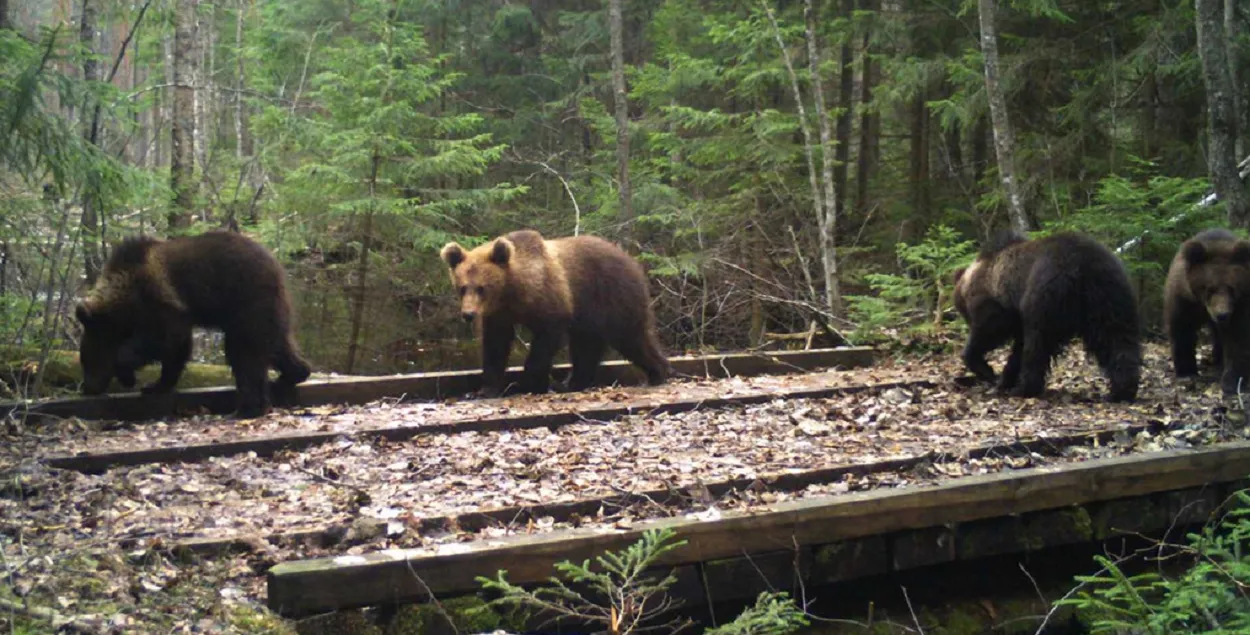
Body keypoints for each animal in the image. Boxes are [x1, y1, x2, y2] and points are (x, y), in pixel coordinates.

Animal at [75, 231, 310, 420]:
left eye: (88, 360)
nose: (88, 387)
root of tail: (277, 266)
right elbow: (176, 350)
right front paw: (155, 385)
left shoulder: (159, 302)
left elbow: (164, 339)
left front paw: (128, 374)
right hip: (267, 311)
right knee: (277, 345)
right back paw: (292, 375)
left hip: (248, 302)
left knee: (245, 353)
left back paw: (248, 408)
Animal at [442, 228, 675, 397]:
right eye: (462, 287)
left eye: (482, 287)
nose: (468, 314)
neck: (513, 291)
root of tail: (631, 260)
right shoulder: (498, 315)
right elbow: (495, 346)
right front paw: (485, 389)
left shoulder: (551, 300)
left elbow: (546, 339)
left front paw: (532, 383)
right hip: (590, 315)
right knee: (588, 346)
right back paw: (574, 383)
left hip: (611, 296)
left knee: (630, 337)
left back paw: (657, 372)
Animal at [950, 233, 1140, 400]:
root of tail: (1083, 267)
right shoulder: (1018, 317)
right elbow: (1018, 346)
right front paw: (1004, 379)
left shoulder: (997, 304)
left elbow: (990, 330)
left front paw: (988, 371)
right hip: (1110, 296)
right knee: (1117, 338)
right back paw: (1122, 390)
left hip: (1047, 295)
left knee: (1038, 343)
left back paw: (1025, 388)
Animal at [1160, 228, 1250, 392]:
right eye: (1210, 289)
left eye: (1231, 288)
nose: (1222, 315)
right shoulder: (1184, 300)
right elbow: (1182, 331)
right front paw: (1187, 373)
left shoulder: (1241, 304)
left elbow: (1238, 337)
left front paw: (1230, 381)